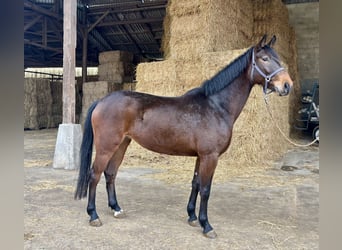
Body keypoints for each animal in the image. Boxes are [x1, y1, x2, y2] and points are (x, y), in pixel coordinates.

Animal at [74, 35, 292, 238]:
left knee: (110, 173)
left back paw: (116, 209)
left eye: (279, 58)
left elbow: (195, 184)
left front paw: (192, 217)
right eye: (264, 59)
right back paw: (93, 215)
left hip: (122, 144)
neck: (216, 106)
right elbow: (206, 189)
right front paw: (207, 225)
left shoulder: (201, 157)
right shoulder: (210, 156)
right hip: (106, 147)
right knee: (94, 174)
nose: (287, 85)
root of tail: (102, 101)